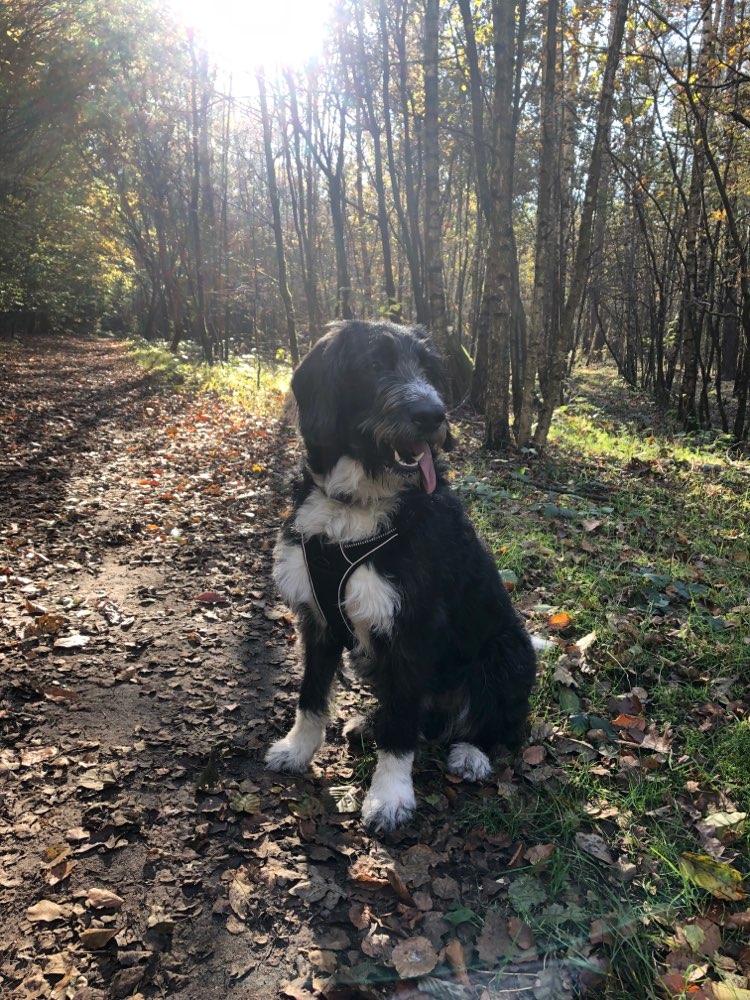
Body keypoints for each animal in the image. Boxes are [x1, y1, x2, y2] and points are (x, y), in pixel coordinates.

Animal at [268, 322, 536, 836]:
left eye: (429, 370)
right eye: (375, 364)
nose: (434, 415)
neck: (354, 508)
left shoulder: (412, 628)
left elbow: (401, 729)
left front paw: (389, 796)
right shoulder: (319, 619)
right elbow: (311, 693)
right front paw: (298, 749)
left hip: (508, 650)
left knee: (501, 726)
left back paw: (472, 752)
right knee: (420, 718)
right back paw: (372, 723)